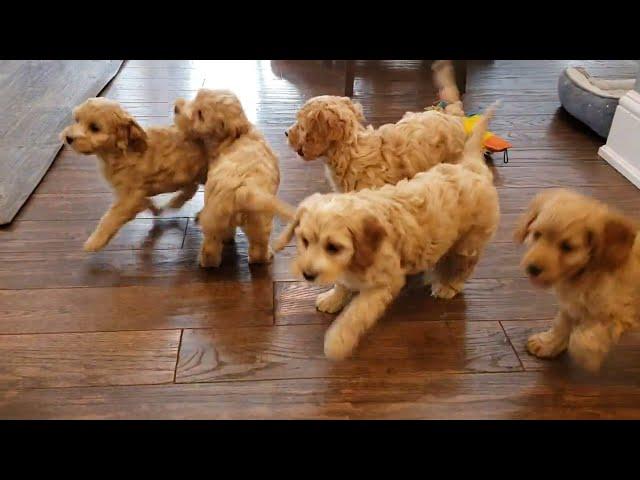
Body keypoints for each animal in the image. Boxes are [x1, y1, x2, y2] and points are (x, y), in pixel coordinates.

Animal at [60, 98, 208, 255]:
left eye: (95, 128)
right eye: (77, 120)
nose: (68, 138)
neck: (119, 153)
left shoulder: (129, 198)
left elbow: (111, 217)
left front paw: (95, 241)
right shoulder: (133, 193)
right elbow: (145, 202)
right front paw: (155, 208)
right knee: (191, 189)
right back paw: (176, 203)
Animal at [175, 89, 296, 268]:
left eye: (200, 114)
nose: (176, 108)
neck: (241, 133)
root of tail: (242, 191)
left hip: (219, 219)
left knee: (212, 247)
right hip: (258, 220)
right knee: (257, 249)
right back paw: (265, 256)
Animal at [276, 105, 500, 360]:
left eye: (302, 126)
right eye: (304, 241)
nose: (285, 133)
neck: (351, 149)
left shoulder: (385, 280)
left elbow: (358, 312)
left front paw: (338, 340)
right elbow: (342, 281)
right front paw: (332, 299)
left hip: (470, 239)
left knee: (463, 264)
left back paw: (448, 285)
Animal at [516, 188, 640, 372]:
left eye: (567, 247)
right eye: (537, 234)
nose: (533, 268)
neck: (588, 271)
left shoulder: (620, 311)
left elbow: (589, 334)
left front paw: (587, 355)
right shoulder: (572, 304)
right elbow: (561, 323)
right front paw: (547, 345)